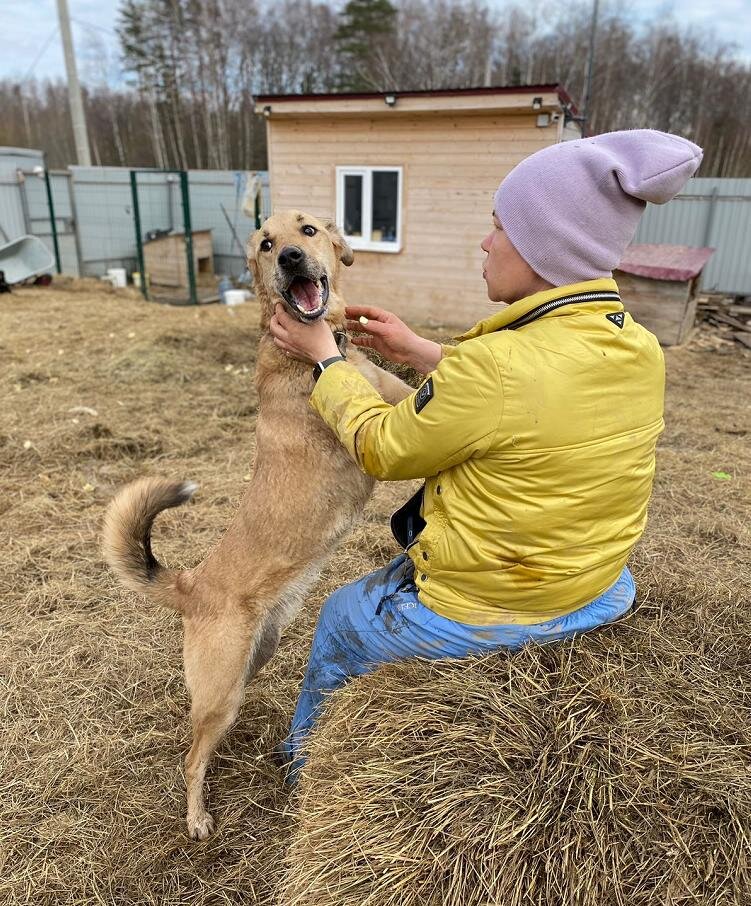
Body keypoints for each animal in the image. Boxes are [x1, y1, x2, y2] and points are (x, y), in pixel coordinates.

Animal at [101, 208, 412, 836]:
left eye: (308, 232)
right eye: (266, 244)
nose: (290, 258)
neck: (314, 353)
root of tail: (189, 584)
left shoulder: (398, 395)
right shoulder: (379, 433)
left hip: (251, 659)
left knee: (204, 732)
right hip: (221, 683)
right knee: (191, 756)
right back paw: (197, 817)